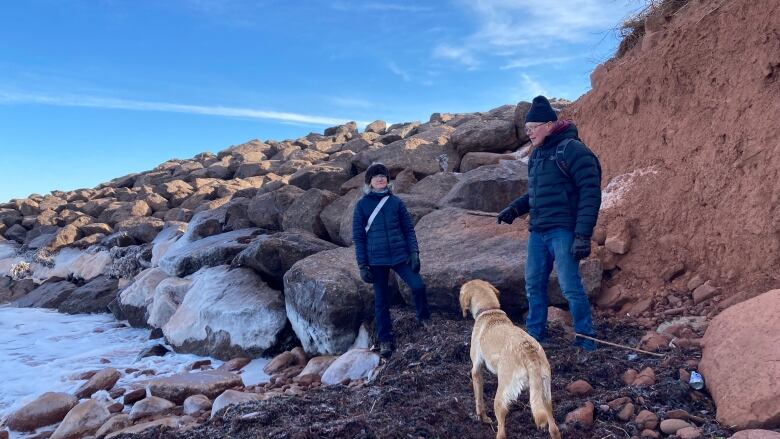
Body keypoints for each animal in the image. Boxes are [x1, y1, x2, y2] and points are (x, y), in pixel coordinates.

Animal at [458, 280, 560, 439]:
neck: (490, 310)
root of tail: (528, 353)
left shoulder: (476, 370)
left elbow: (479, 400)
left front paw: (483, 418)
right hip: (545, 397)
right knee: (554, 429)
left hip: (500, 399)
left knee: (501, 432)